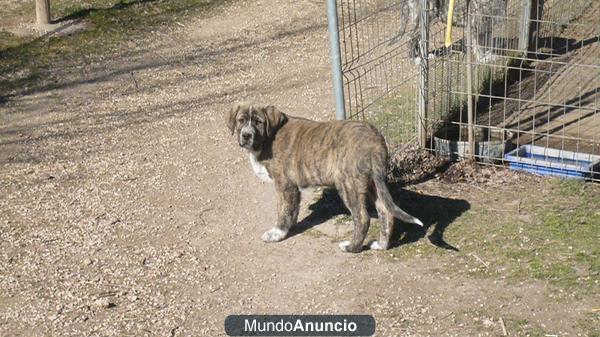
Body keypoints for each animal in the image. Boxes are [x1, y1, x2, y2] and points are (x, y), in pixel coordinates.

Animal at [225, 102, 422, 252]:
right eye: (241, 121)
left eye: (258, 122)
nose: (246, 135)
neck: (268, 138)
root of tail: (374, 139)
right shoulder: (293, 188)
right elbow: (292, 209)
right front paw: (290, 226)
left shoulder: (284, 184)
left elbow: (283, 210)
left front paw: (277, 233)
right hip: (373, 183)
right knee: (386, 212)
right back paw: (381, 245)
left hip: (348, 184)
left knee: (362, 218)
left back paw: (351, 247)